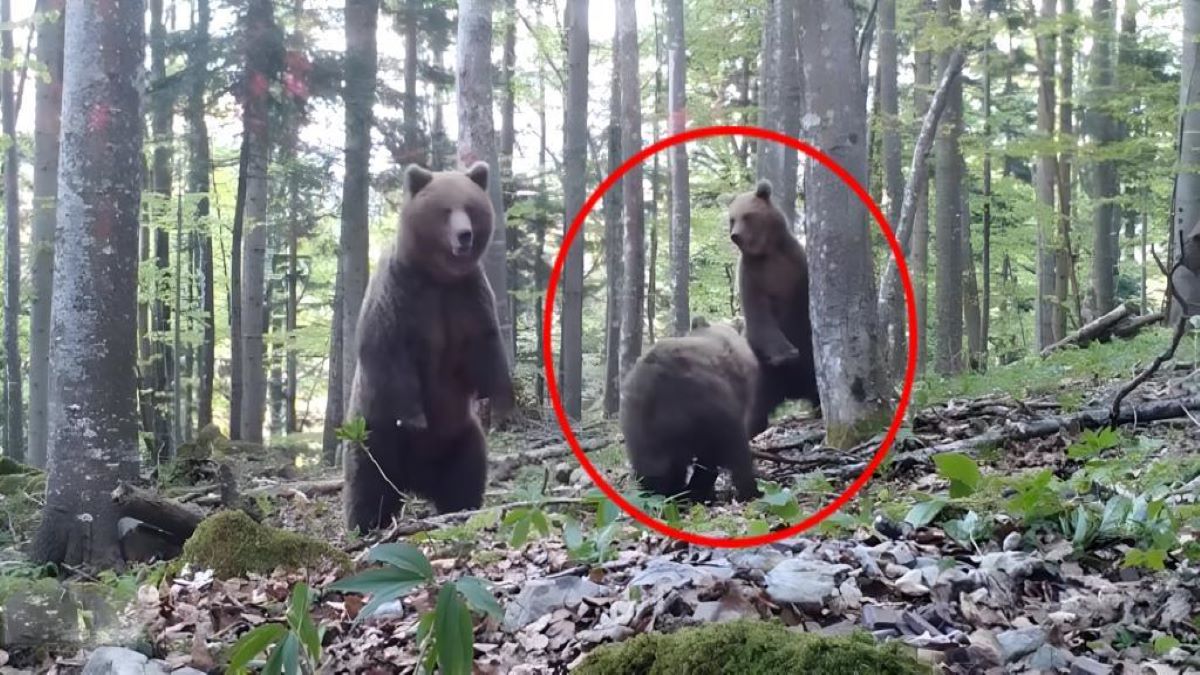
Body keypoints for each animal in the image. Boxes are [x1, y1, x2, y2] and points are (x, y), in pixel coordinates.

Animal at [345, 158, 518, 530]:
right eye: (445, 210)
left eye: (471, 207)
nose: (464, 235)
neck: (439, 277)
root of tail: (416, 483)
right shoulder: (400, 295)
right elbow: (386, 350)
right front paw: (414, 419)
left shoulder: (468, 298)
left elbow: (486, 348)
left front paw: (500, 401)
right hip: (371, 434)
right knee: (367, 481)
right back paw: (365, 524)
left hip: (460, 437)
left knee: (468, 470)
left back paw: (463, 508)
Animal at [724, 177, 820, 437]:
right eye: (732, 219)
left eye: (747, 216)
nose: (735, 235)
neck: (767, 253)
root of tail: (791, 391)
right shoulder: (752, 277)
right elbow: (760, 318)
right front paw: (786, 353)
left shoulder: (795, 265)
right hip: (763, 376)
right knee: (756, 406)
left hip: (811, 367)